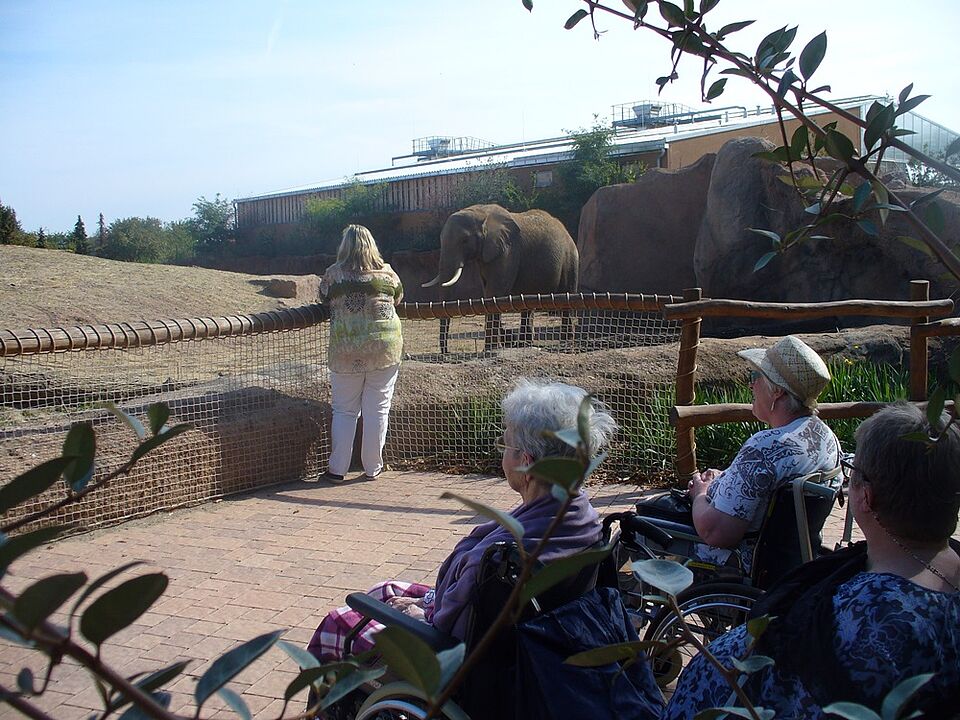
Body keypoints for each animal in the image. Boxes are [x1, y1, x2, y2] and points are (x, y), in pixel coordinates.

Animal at [422, 204, 579, 351]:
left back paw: (566, 346)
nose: (446, 352)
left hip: (570, 259)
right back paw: (523, 345)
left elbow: (495, 291)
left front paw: (490, 349)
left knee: (566, 297)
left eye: (465, 240)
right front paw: (496, 345)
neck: (482, 213)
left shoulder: (508, 250)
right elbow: (487, 293)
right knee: (528, 303)